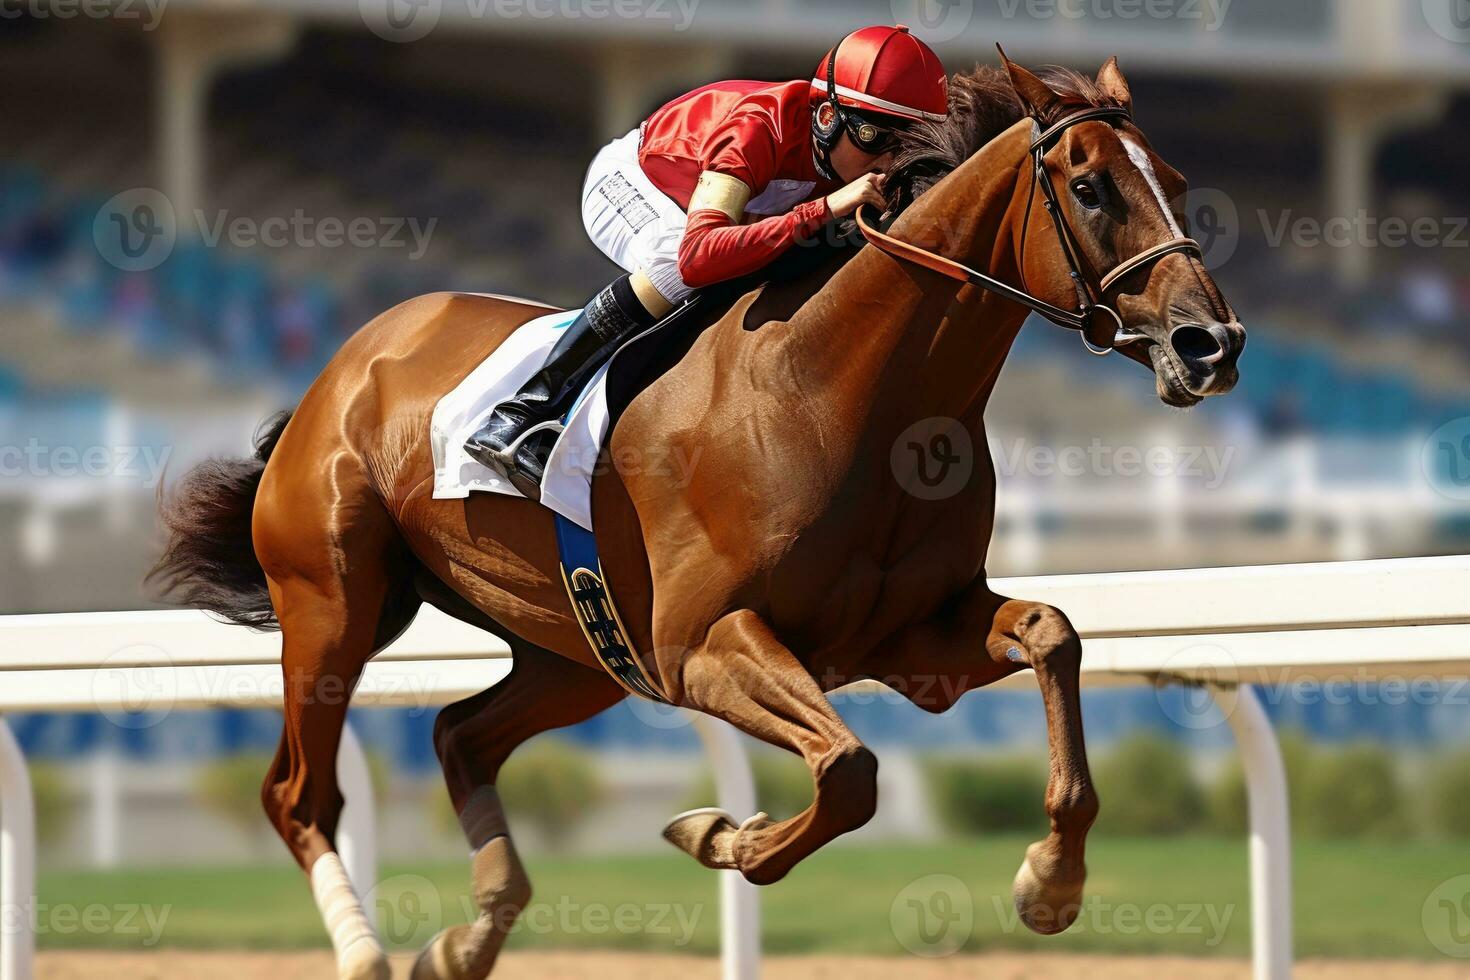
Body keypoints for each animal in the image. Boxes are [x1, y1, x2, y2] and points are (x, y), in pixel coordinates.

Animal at [152, 57, 1240, 975]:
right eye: (1091, 187)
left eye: (1178, 180)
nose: (1212, 342)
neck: (848, 386)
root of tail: (347, 363)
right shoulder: (701, 644)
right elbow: (848, 768)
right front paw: (723, 831)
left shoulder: (911, 639)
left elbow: (1052, 634)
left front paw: (1052, 882)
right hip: (334, 603)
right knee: (300, 793)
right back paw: (366, 949)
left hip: (579, 646)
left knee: (461, 735)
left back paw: (465, 941)